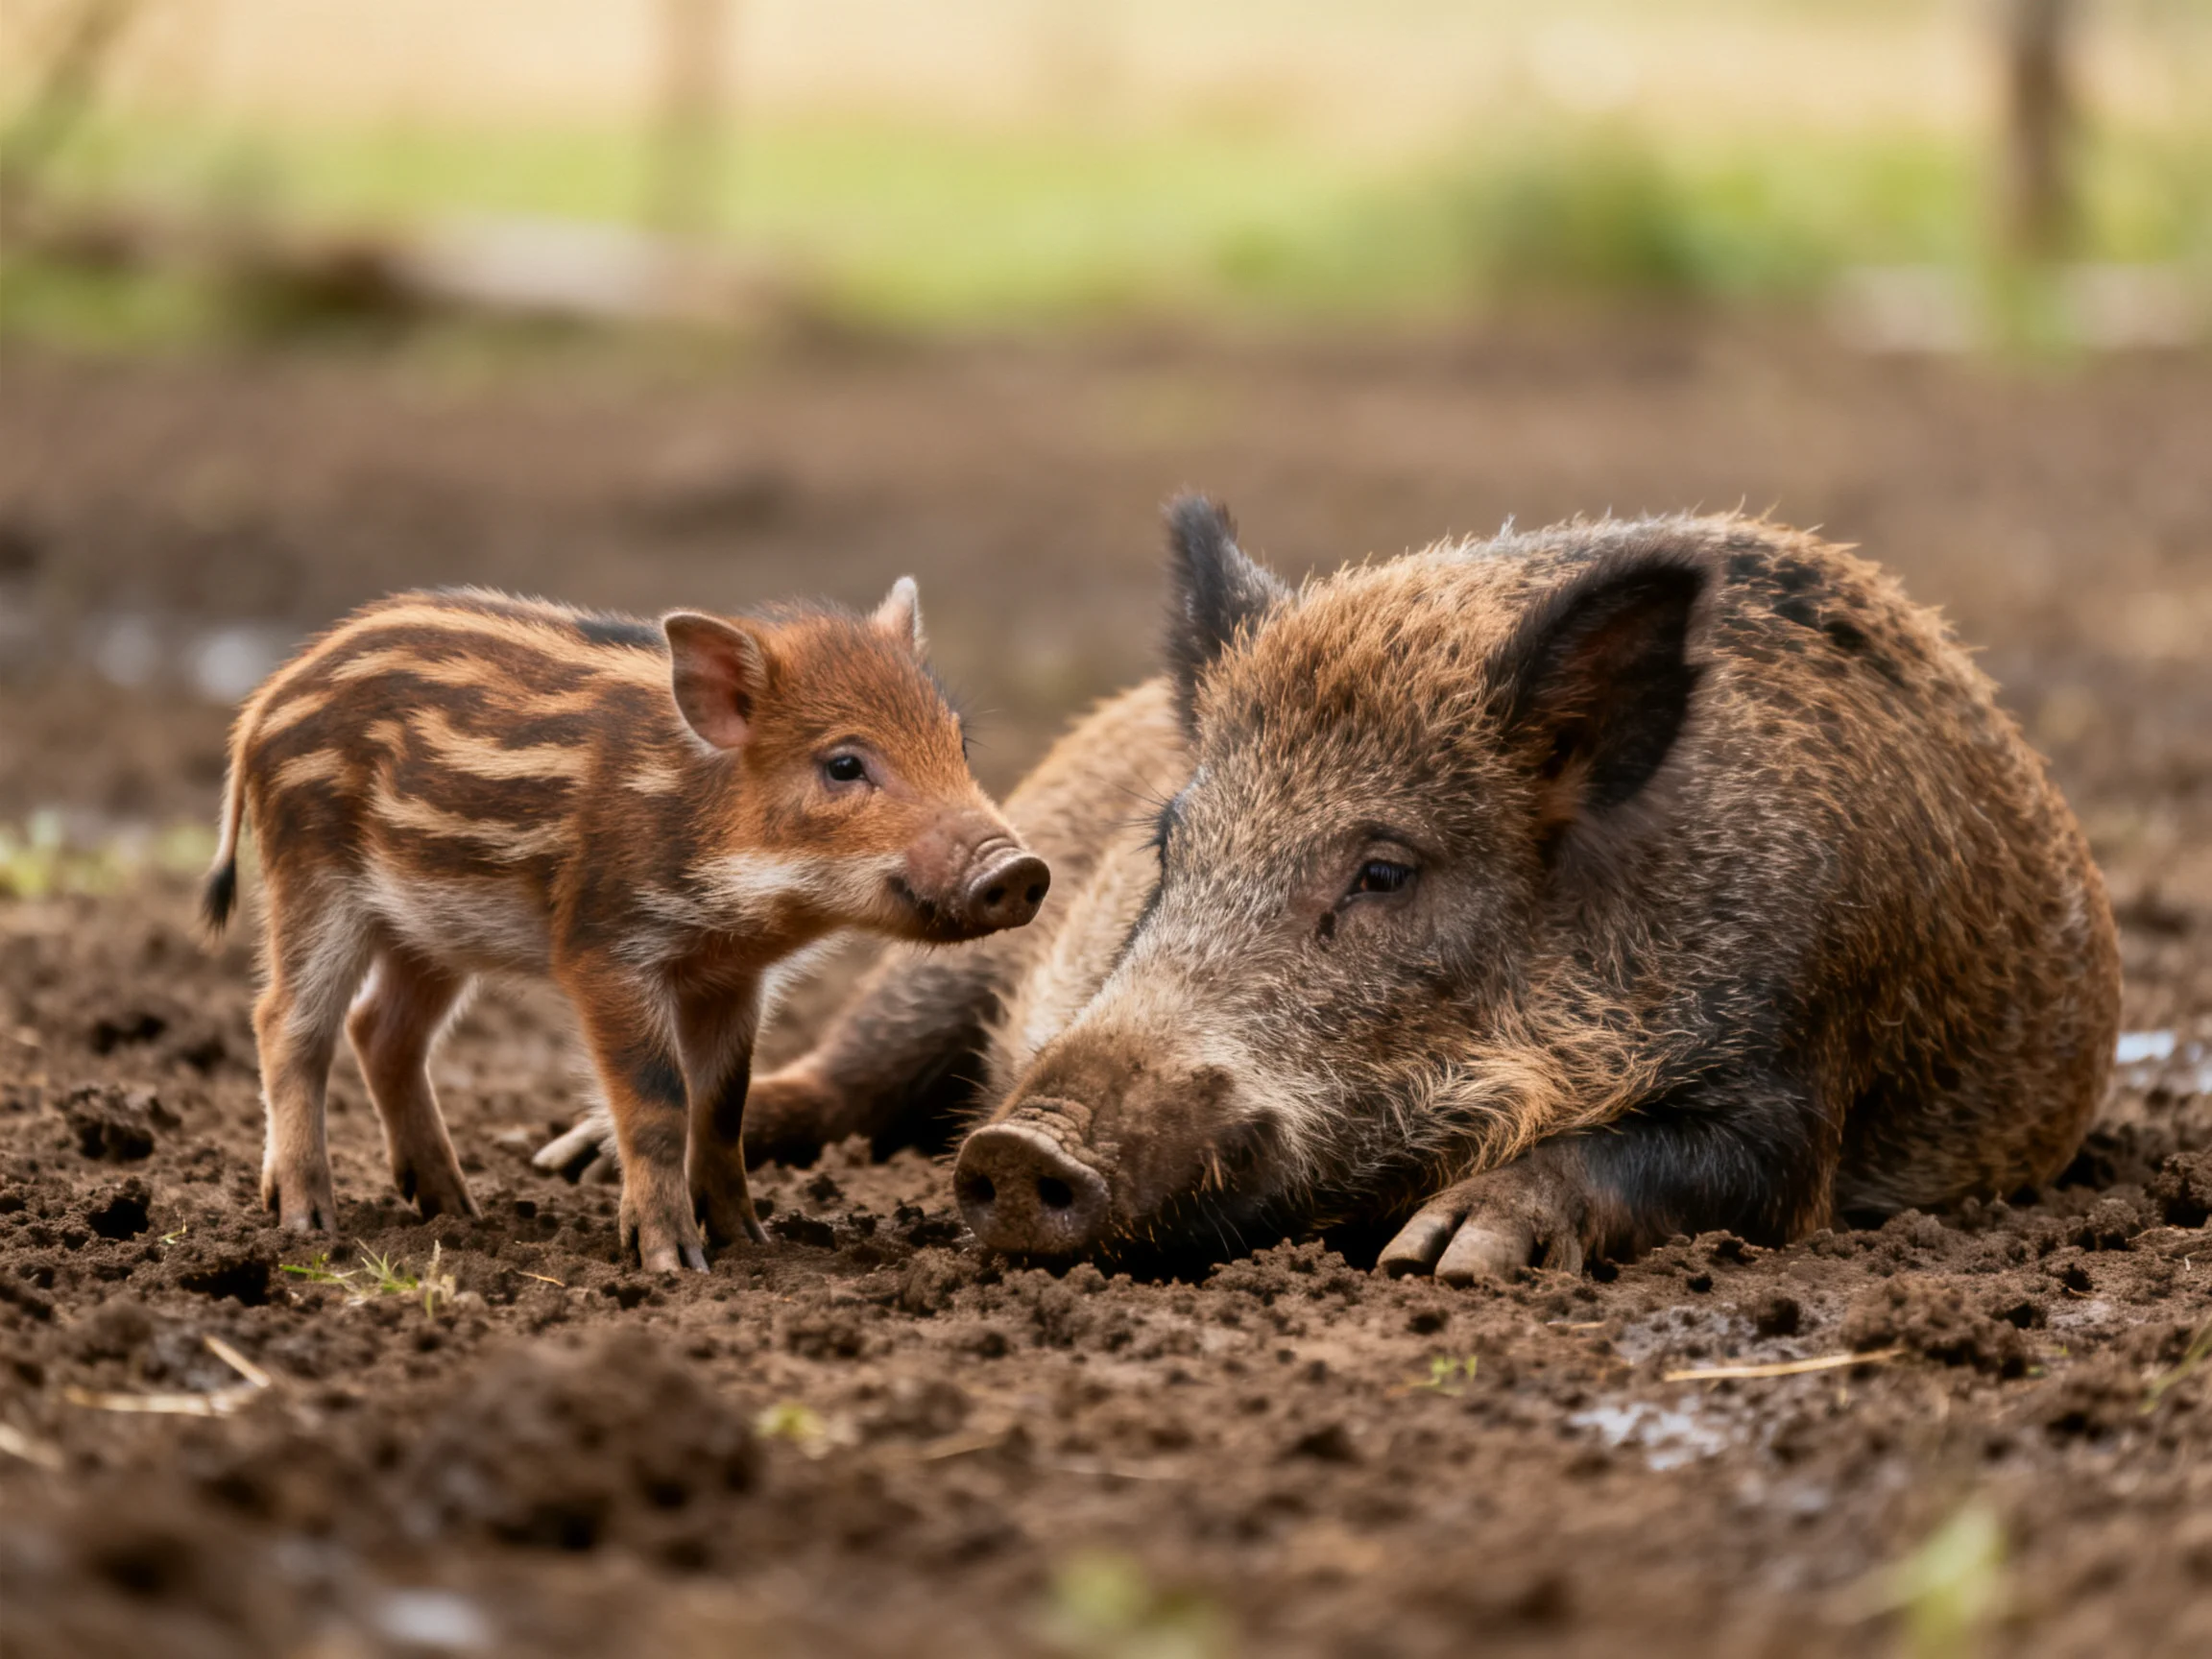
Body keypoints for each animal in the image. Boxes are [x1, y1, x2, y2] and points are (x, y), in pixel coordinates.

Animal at [202, 582, 1047, 1271]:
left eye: (957, 743)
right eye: (843, 765)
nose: (1021, 868)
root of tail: (263, 702)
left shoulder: (732, 978)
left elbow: (722, 1106)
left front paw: (751, 1242)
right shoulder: (606, 951)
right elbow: (657, 1100)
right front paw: (672, 1261)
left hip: (425, 928)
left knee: (382, 1031)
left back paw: (457, 1209)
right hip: (314, 879)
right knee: (288, 1022)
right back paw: (309, 1220)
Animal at [539, 502, 2120, 1283]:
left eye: (1383, 870)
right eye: (1173, 847)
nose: (1014, 1151)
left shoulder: (1793, 1083)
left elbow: (1676, 1164)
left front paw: (1449, 1258)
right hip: (958, 955)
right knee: (837, 1077)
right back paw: (565, 1155)